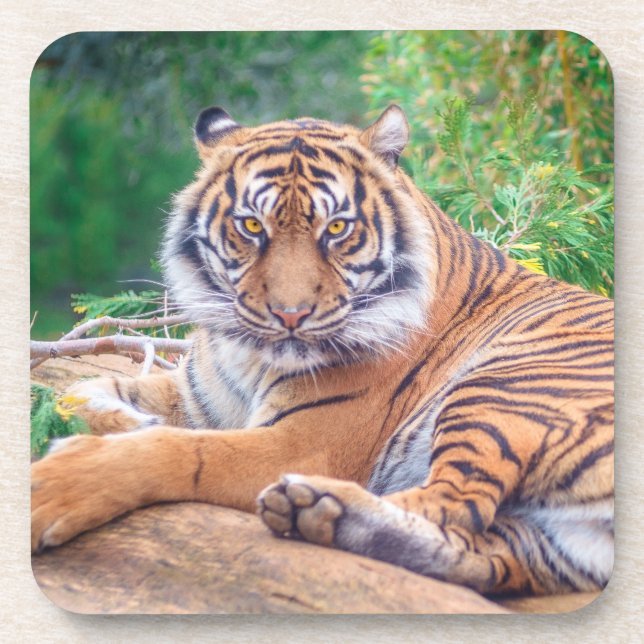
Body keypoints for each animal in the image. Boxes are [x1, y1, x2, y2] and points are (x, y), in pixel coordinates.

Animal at [31, 105, 614, 598]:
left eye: (337, 228)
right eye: (252, 225)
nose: (290, 315)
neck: (249, 355)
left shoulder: (301, 443)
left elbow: (181, 451)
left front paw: (53, 489)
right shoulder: (196, 397)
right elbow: (85, 389)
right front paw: (123, 418)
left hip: (503, 390)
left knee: (455, 503)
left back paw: (319, 501)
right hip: (551, 537)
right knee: (483, 553)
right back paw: (321, 513)